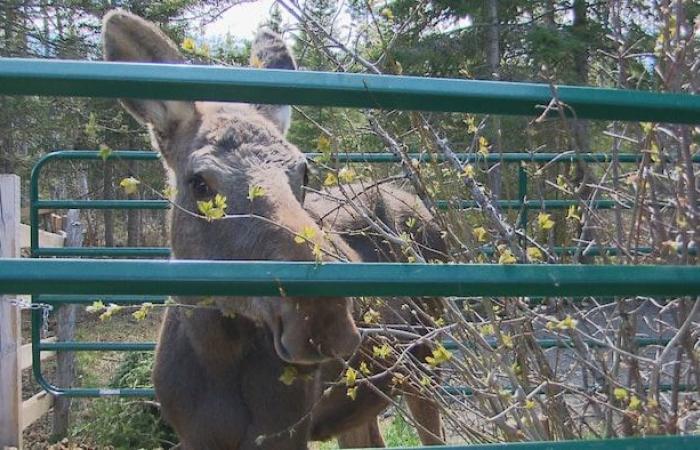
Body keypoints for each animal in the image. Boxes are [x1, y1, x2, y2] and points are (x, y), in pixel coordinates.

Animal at [102, 10, 446, 450]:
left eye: (304, 172)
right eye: (200, 183)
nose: (322, 315)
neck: (217, 357)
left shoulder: (286, 432)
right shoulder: (194, 436)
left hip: (425, 368)